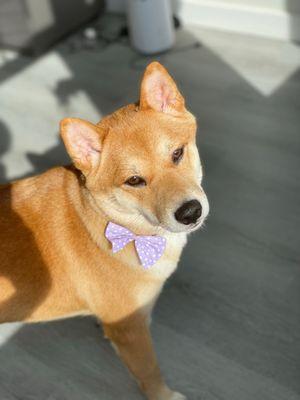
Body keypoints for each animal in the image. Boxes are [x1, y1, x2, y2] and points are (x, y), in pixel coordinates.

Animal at [0, 62, 209, 400]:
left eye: (177, 153)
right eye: (134, 180)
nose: (190, 212)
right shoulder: (130, 330)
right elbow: (149, 370)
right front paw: (165, 396)